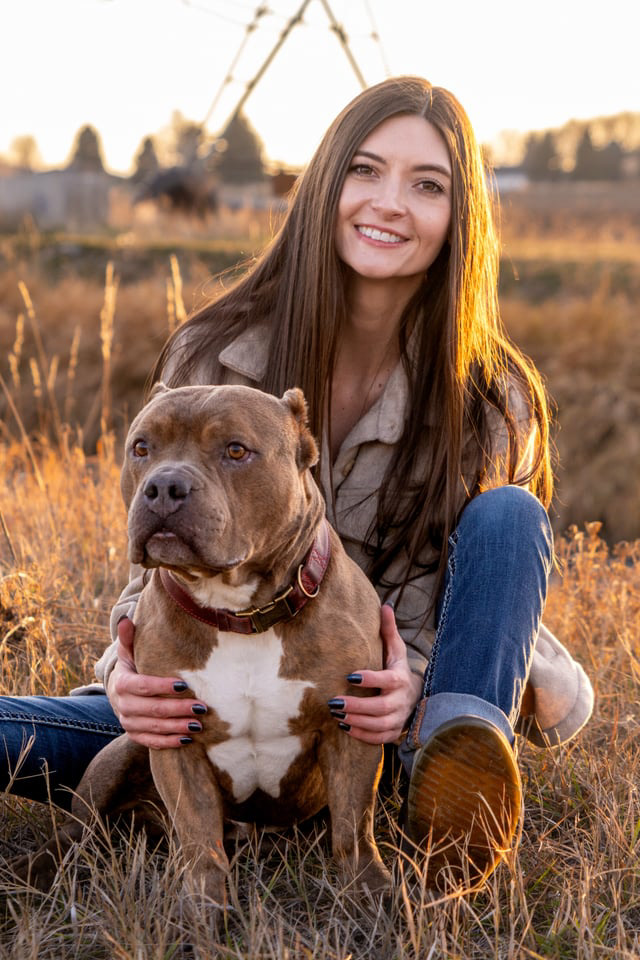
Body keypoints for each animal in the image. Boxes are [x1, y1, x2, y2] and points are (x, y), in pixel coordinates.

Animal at [16, 383, 390, 907]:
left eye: (235, 450)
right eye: (141, 447)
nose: (164, 487)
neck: (239, 614)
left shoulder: (351, 728)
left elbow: (354, 830)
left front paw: (374, 895)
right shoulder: (174, 737)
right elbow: (199, 842)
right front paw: (205, 910)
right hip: (122, 751)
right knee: (79, 831)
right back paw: (36, 870)